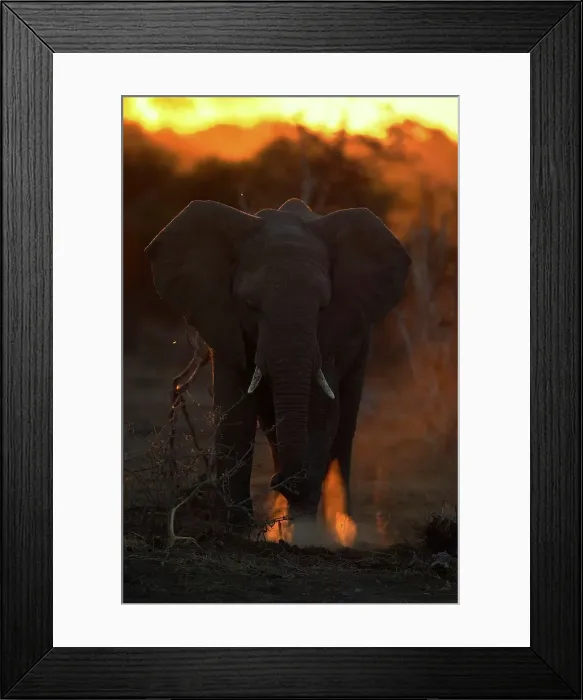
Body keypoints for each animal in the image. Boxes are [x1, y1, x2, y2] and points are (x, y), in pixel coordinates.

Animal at [145, 198, 411, 528]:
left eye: (323, 307)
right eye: (250, 305)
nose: (279, 481)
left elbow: (319, 411)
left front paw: (305, 529)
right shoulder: (224, 320)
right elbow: (234, 411)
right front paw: (236, 525)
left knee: (345, 421)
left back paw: (342, 524)